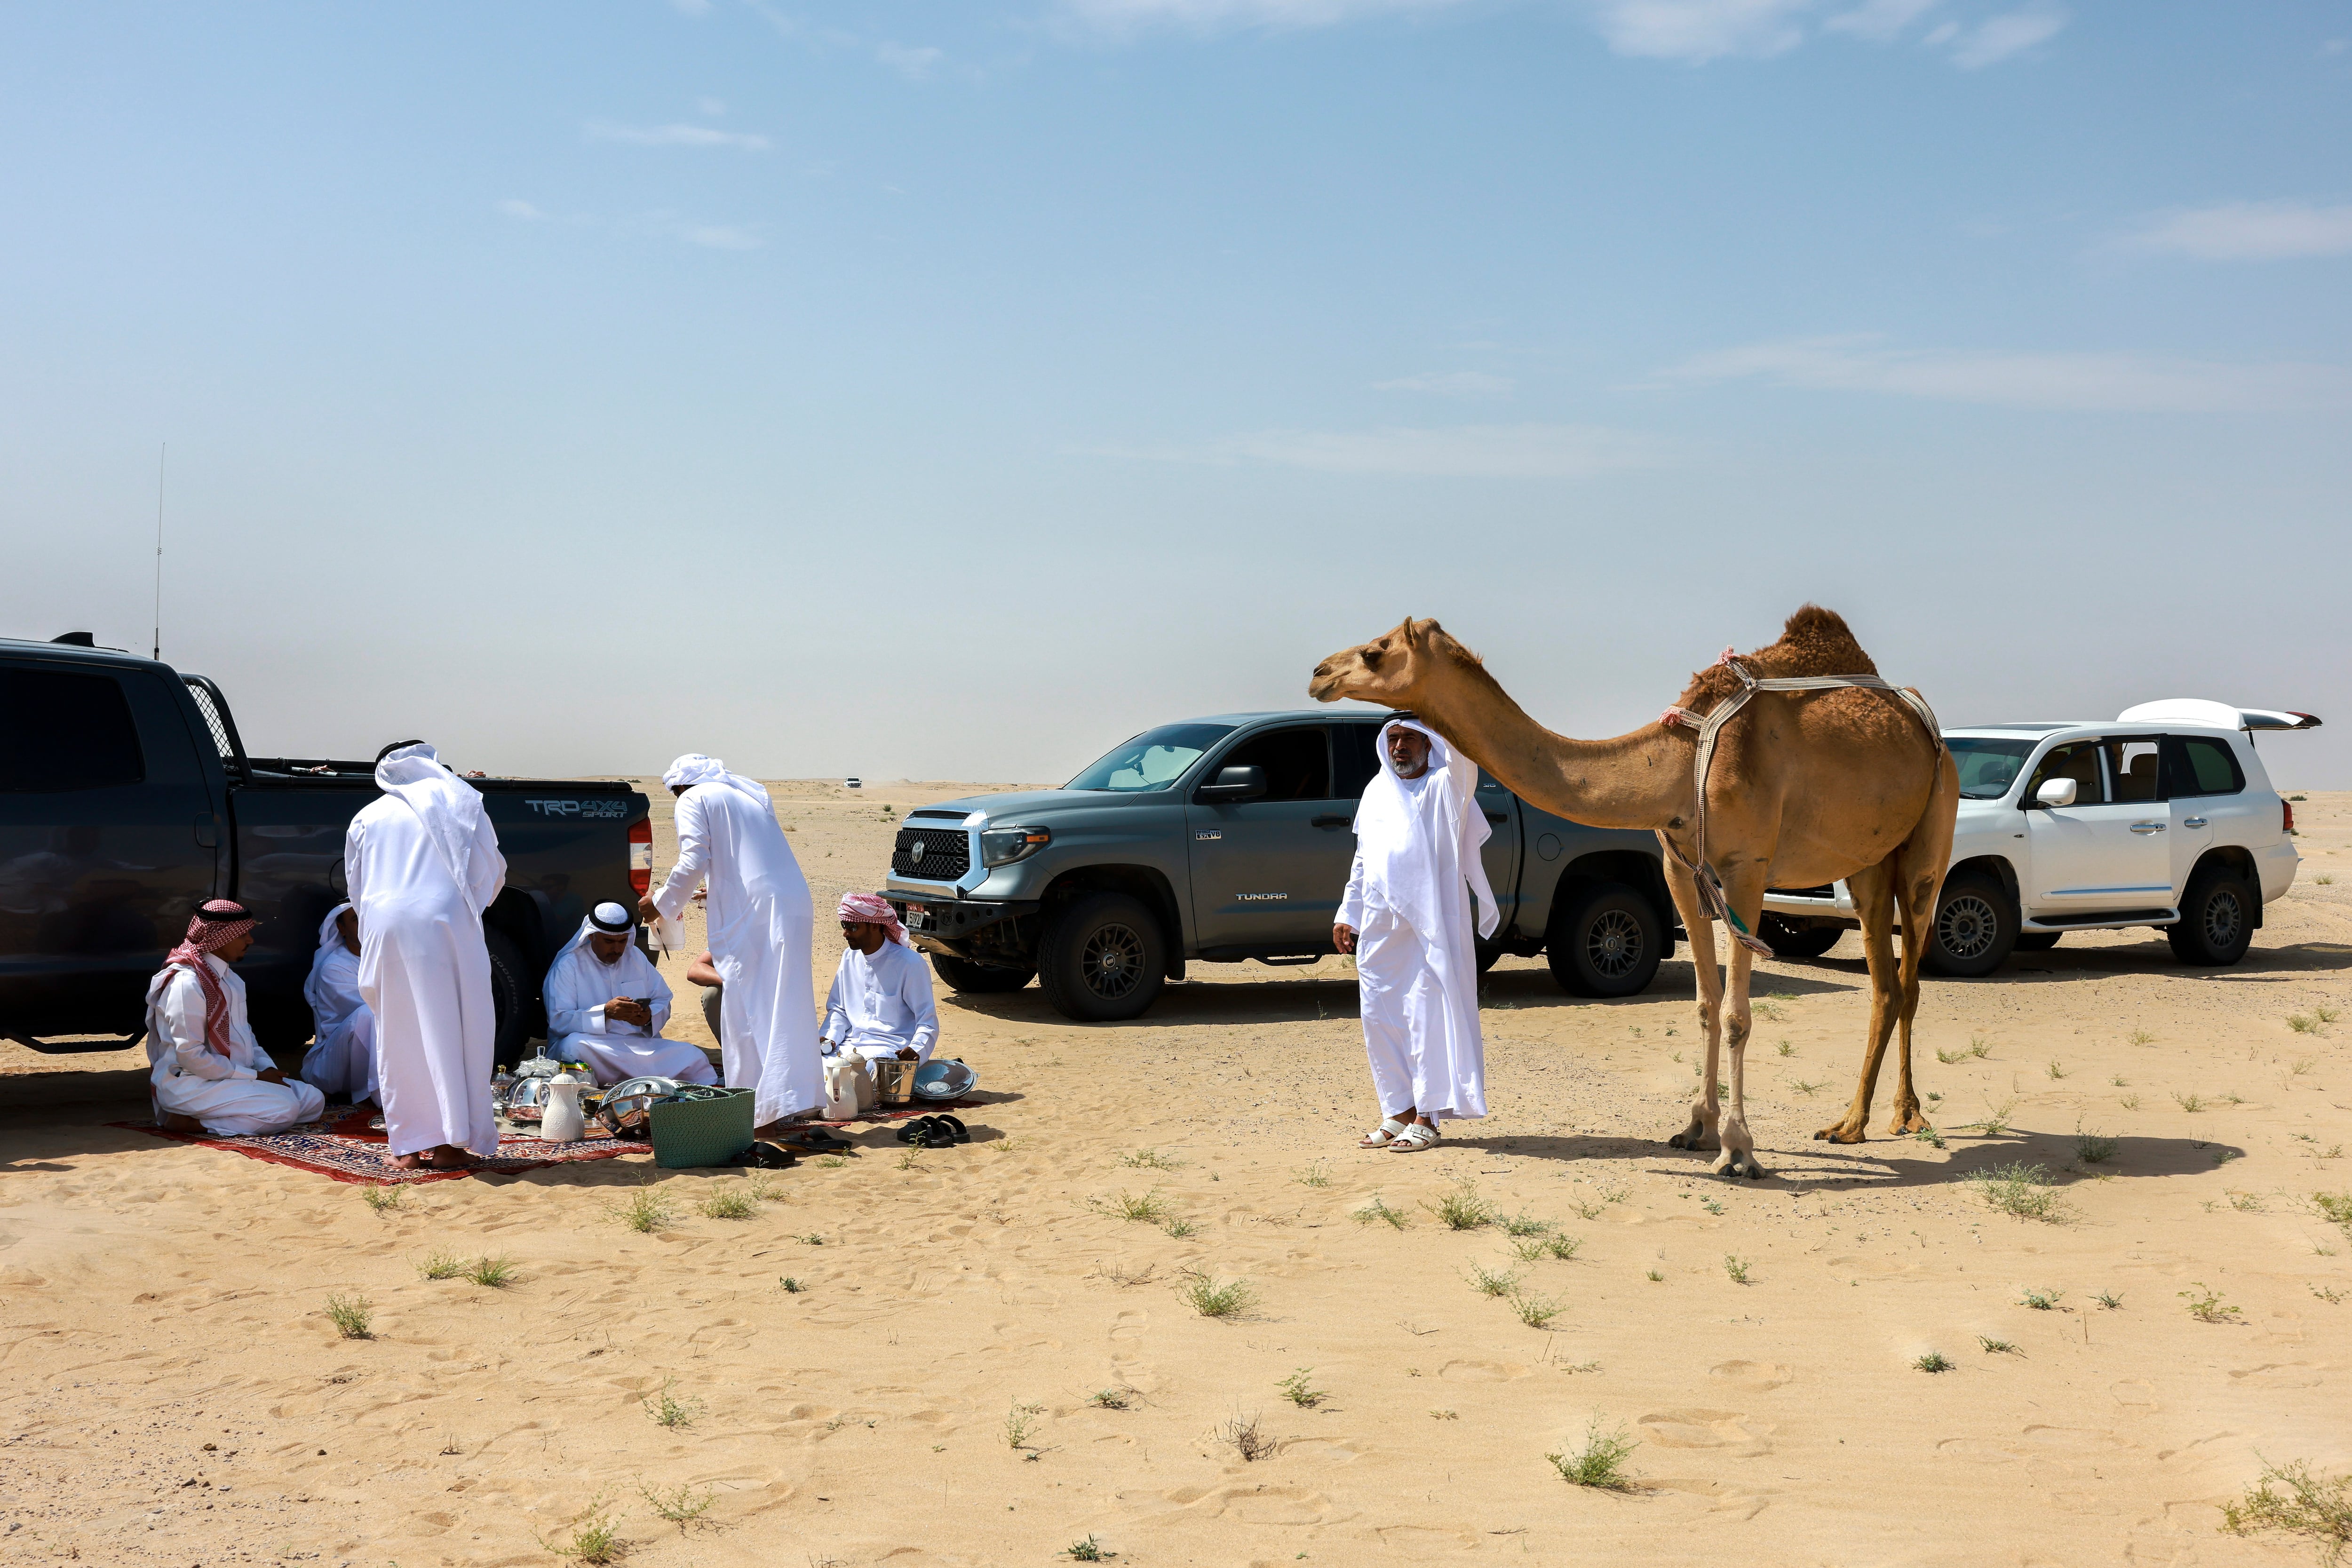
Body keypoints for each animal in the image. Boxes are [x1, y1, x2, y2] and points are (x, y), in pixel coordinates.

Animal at [1308, 606, 1959, 1179]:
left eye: (1375, 651)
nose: (1319, 672)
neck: (1675, 766)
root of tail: (1931, 734)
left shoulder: (1746, 867)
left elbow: (1735, 1014)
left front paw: (1738, 1150)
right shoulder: (1680, 868)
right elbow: (1704, 1004)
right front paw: (1695, 1128)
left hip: (1929, 838)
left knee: (1910, 976)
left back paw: (1907, 1116)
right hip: (1867, 863)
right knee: (1883, 986)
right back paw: (1849, 1124)